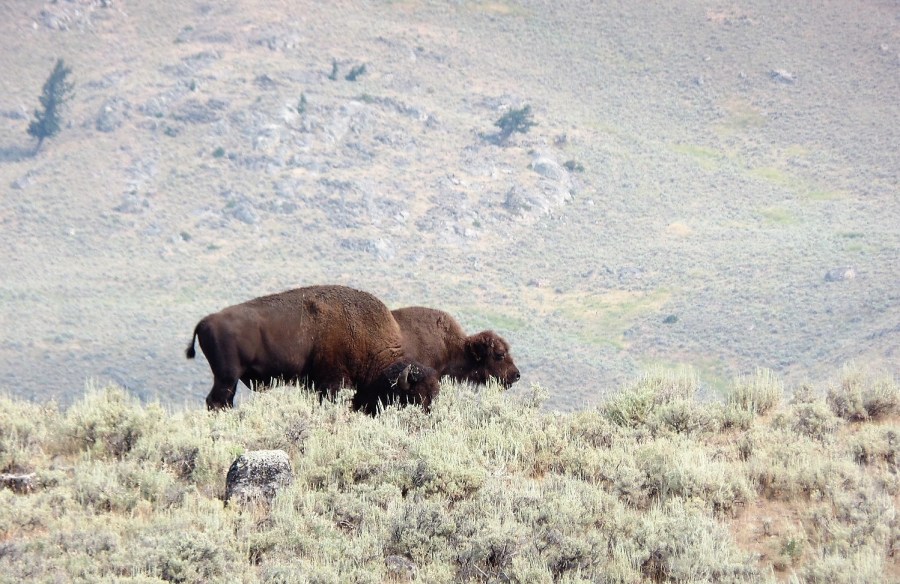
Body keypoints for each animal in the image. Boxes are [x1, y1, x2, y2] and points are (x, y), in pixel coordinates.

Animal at [186, 285, 440, 414]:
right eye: (414, 397)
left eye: (435, 394)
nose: (428, 416)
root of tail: (205, 321)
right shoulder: (331, 383)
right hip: (227, 377)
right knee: (217, 402)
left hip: (228, 379)